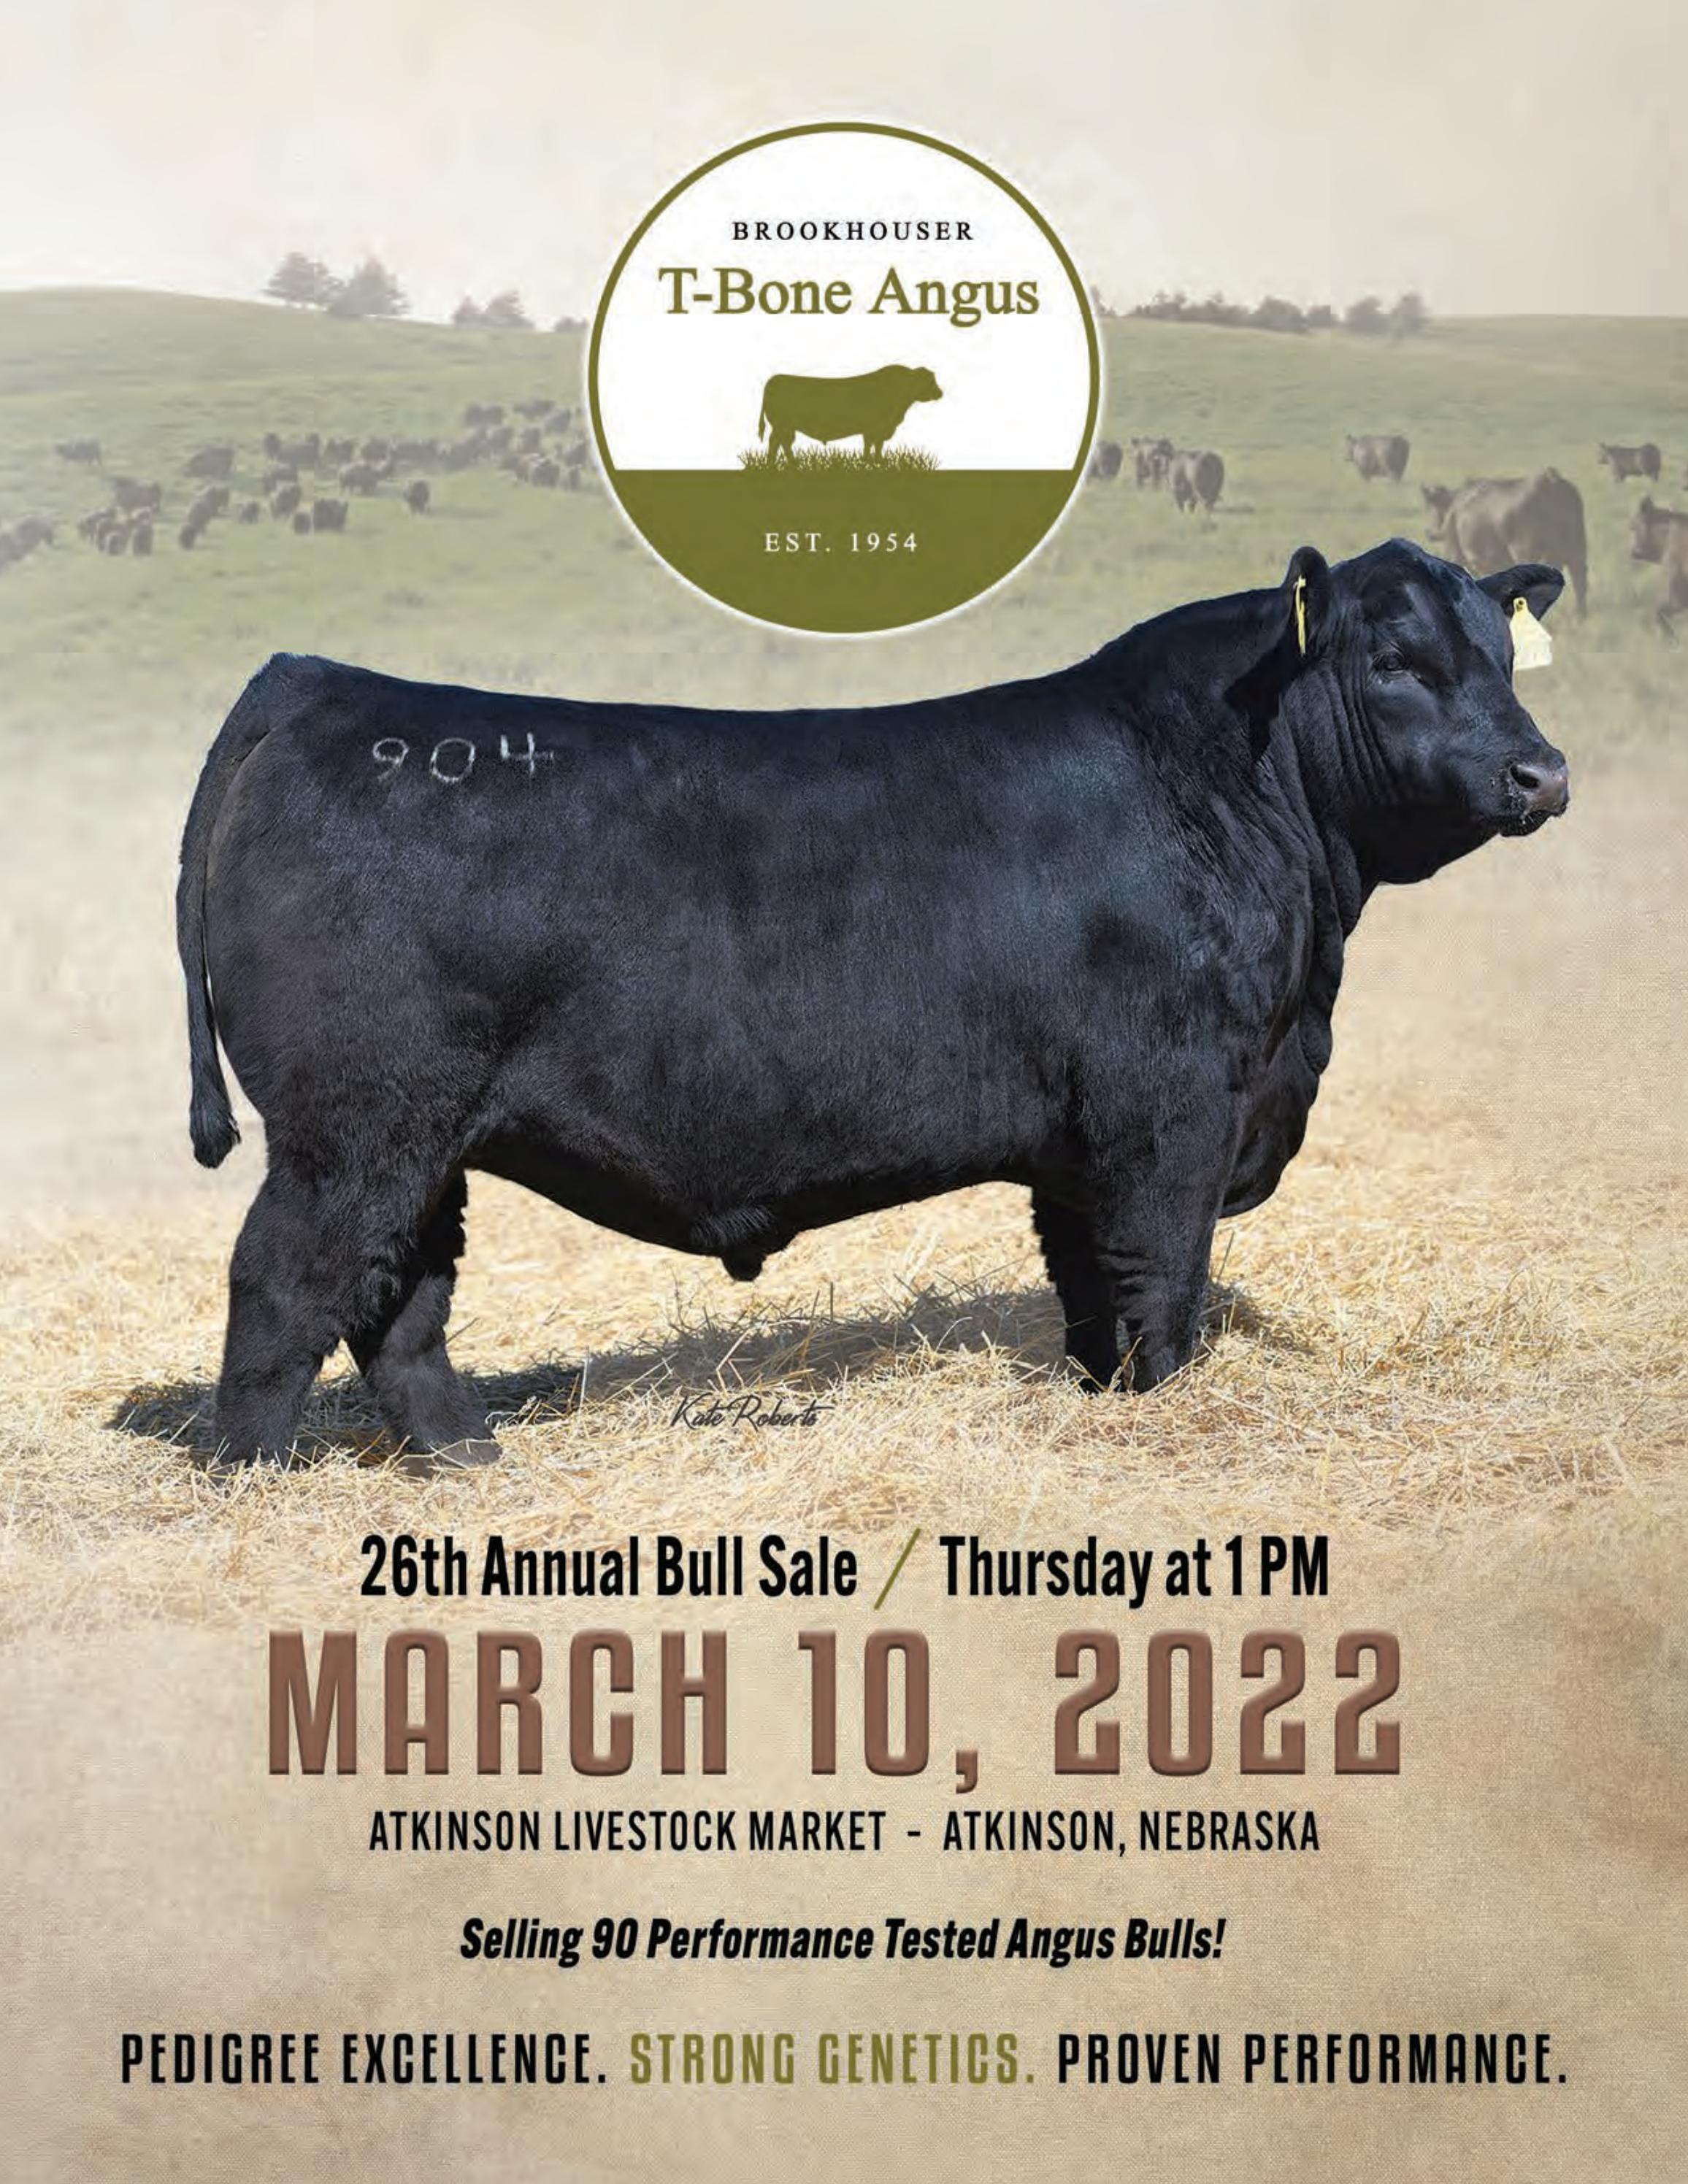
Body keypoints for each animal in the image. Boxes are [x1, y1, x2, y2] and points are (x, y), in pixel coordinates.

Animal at [175, 537, 1569, 1469]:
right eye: (1396, 660)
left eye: (1506, 658)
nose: (1541, 772)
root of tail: (318, 682)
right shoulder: (1170, 1110)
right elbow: (1158, 1277)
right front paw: (1163, 1408)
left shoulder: (1078, 1138)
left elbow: (1088, 1284)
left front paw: (1100, 1398)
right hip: (354, 1123)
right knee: (285, 1281)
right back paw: (252, 1473)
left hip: (419, 1139)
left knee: (398, 1300)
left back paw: (469, 1459)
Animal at [758, 364, 942, 461]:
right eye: (929, 381)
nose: (941, 393)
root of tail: (774, 379)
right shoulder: (875, 428)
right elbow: (873, 445)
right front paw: (873, 462)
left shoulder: (876, 429)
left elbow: (874, 446)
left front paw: (874, 462)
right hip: (781, 425)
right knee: (776, 442)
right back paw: (773, 464)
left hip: (786, 427)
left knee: (784, 443)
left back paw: (792, 464)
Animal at [1422, 471, 1588, 616]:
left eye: (1432, 507)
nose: (1431, 531)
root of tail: (1549, 479)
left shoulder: (1454, 554)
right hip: (1577, 550)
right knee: (1580, 583)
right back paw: (1580, 616)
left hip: (1527, 553)